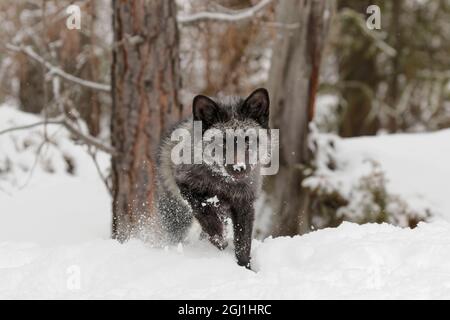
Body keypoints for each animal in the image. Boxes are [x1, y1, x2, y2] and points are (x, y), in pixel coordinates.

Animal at [156, 87, 268, 268]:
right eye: (222, 142)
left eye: (247, 140)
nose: (239, 167)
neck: (224, 184)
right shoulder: (186, 186)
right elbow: (205, 214)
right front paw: (219, 239)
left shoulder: (244, 205)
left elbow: (243, 245)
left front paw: (245, 267)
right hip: (177, 214)